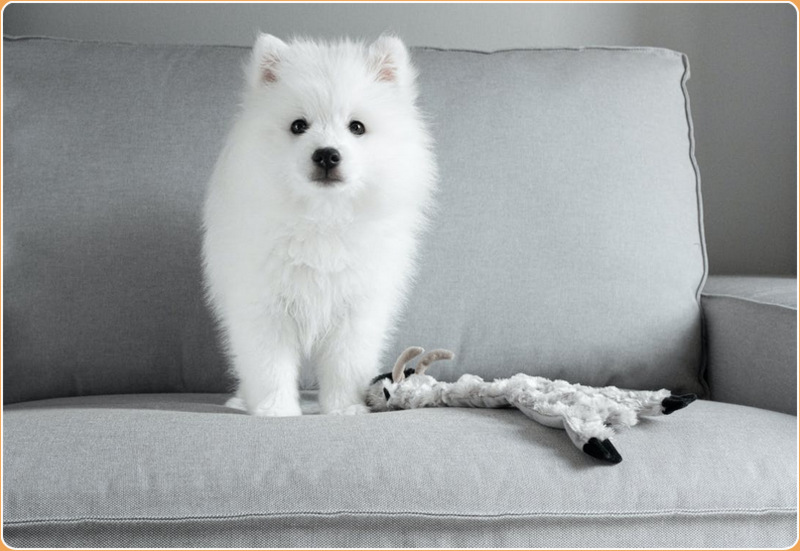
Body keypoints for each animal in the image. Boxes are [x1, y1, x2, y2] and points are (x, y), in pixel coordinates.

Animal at [203, 34, 434, 416]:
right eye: (299, 125)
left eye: (357, 127)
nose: (326, 154)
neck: (323, 216)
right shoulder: (264, 305)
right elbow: (270, 364)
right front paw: (276, 409)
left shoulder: (355, 308)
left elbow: (345, 364)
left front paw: (345, 408)